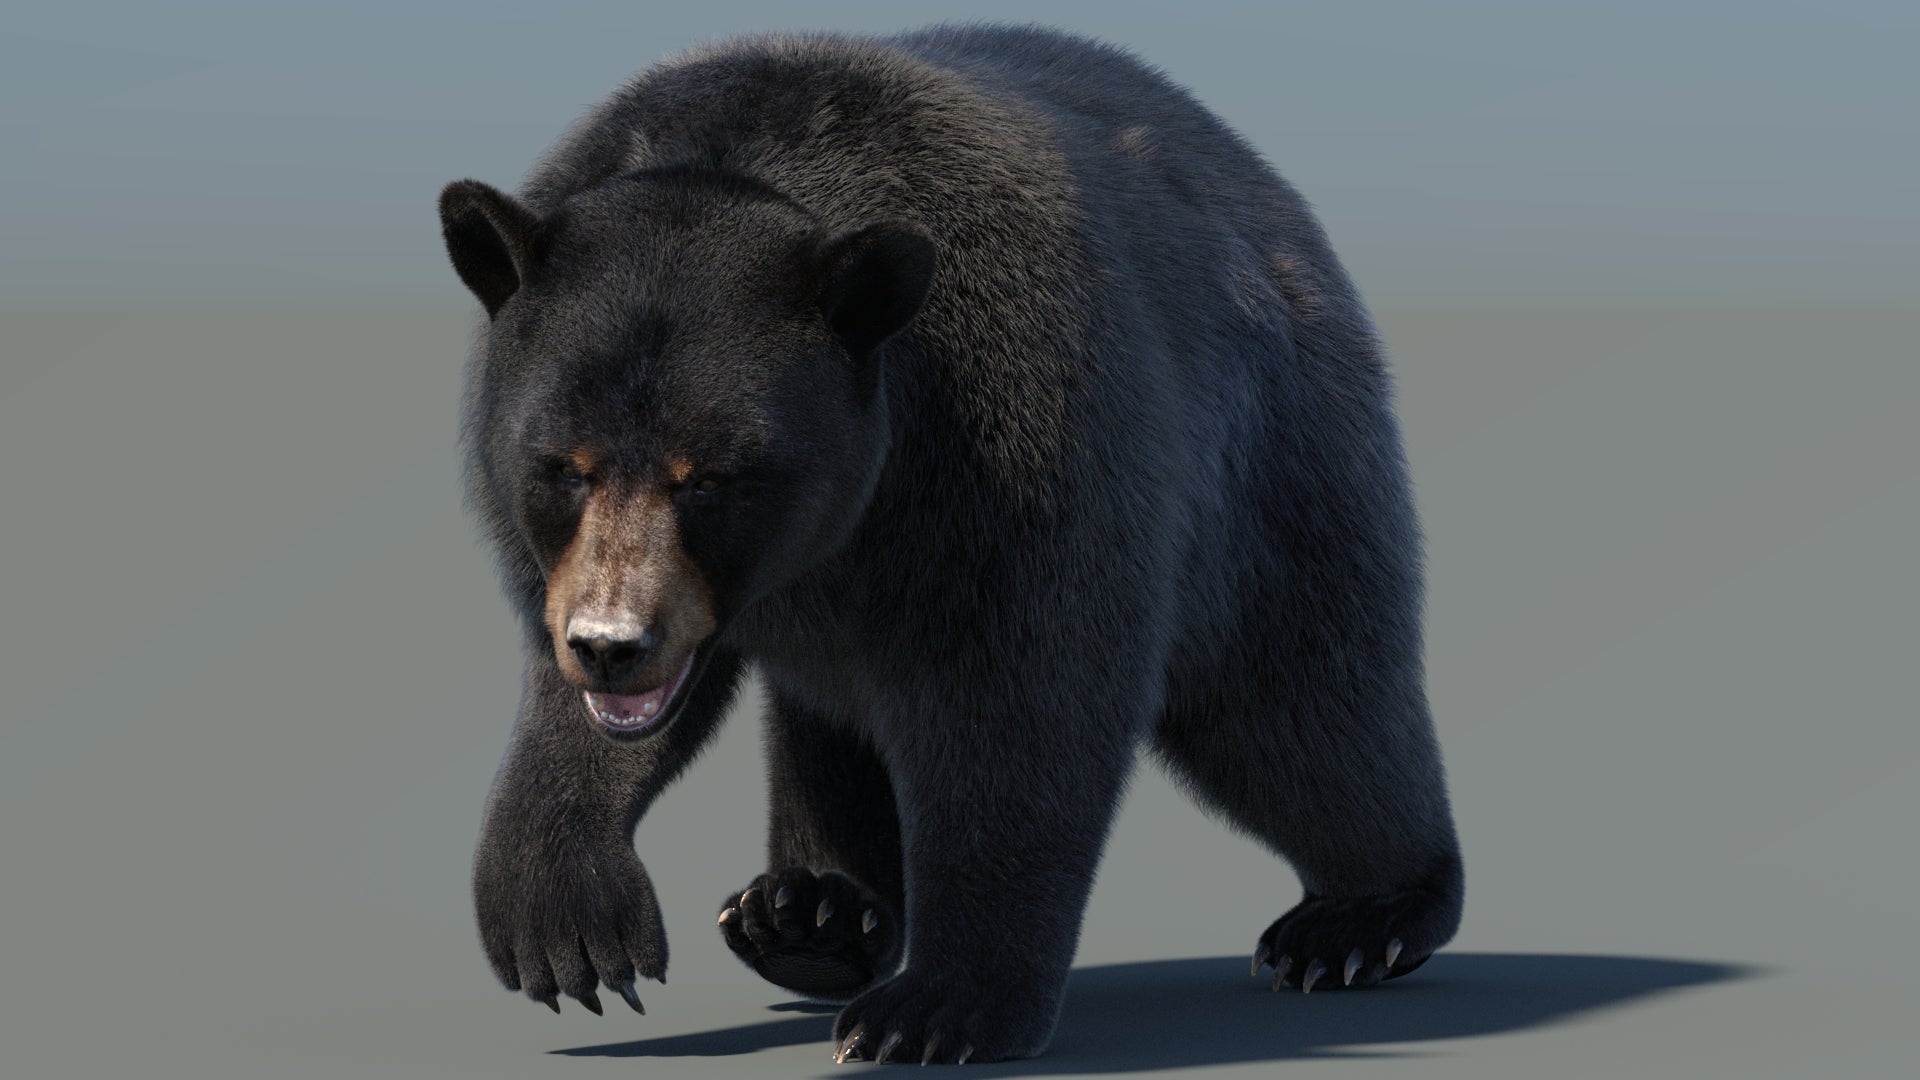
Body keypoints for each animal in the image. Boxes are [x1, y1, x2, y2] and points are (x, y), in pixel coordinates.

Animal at [439, 22, 1463, 1064]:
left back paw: (1359, 918)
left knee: (1299, 703)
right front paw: (569, 932)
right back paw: (810, 915)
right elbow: (576, 710)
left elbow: (1020, 705)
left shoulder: (1009, 442)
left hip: (1272, 469)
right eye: (564, 464)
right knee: (829, 713)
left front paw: (938, 1011)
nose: (612, 645)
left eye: (712, 476)